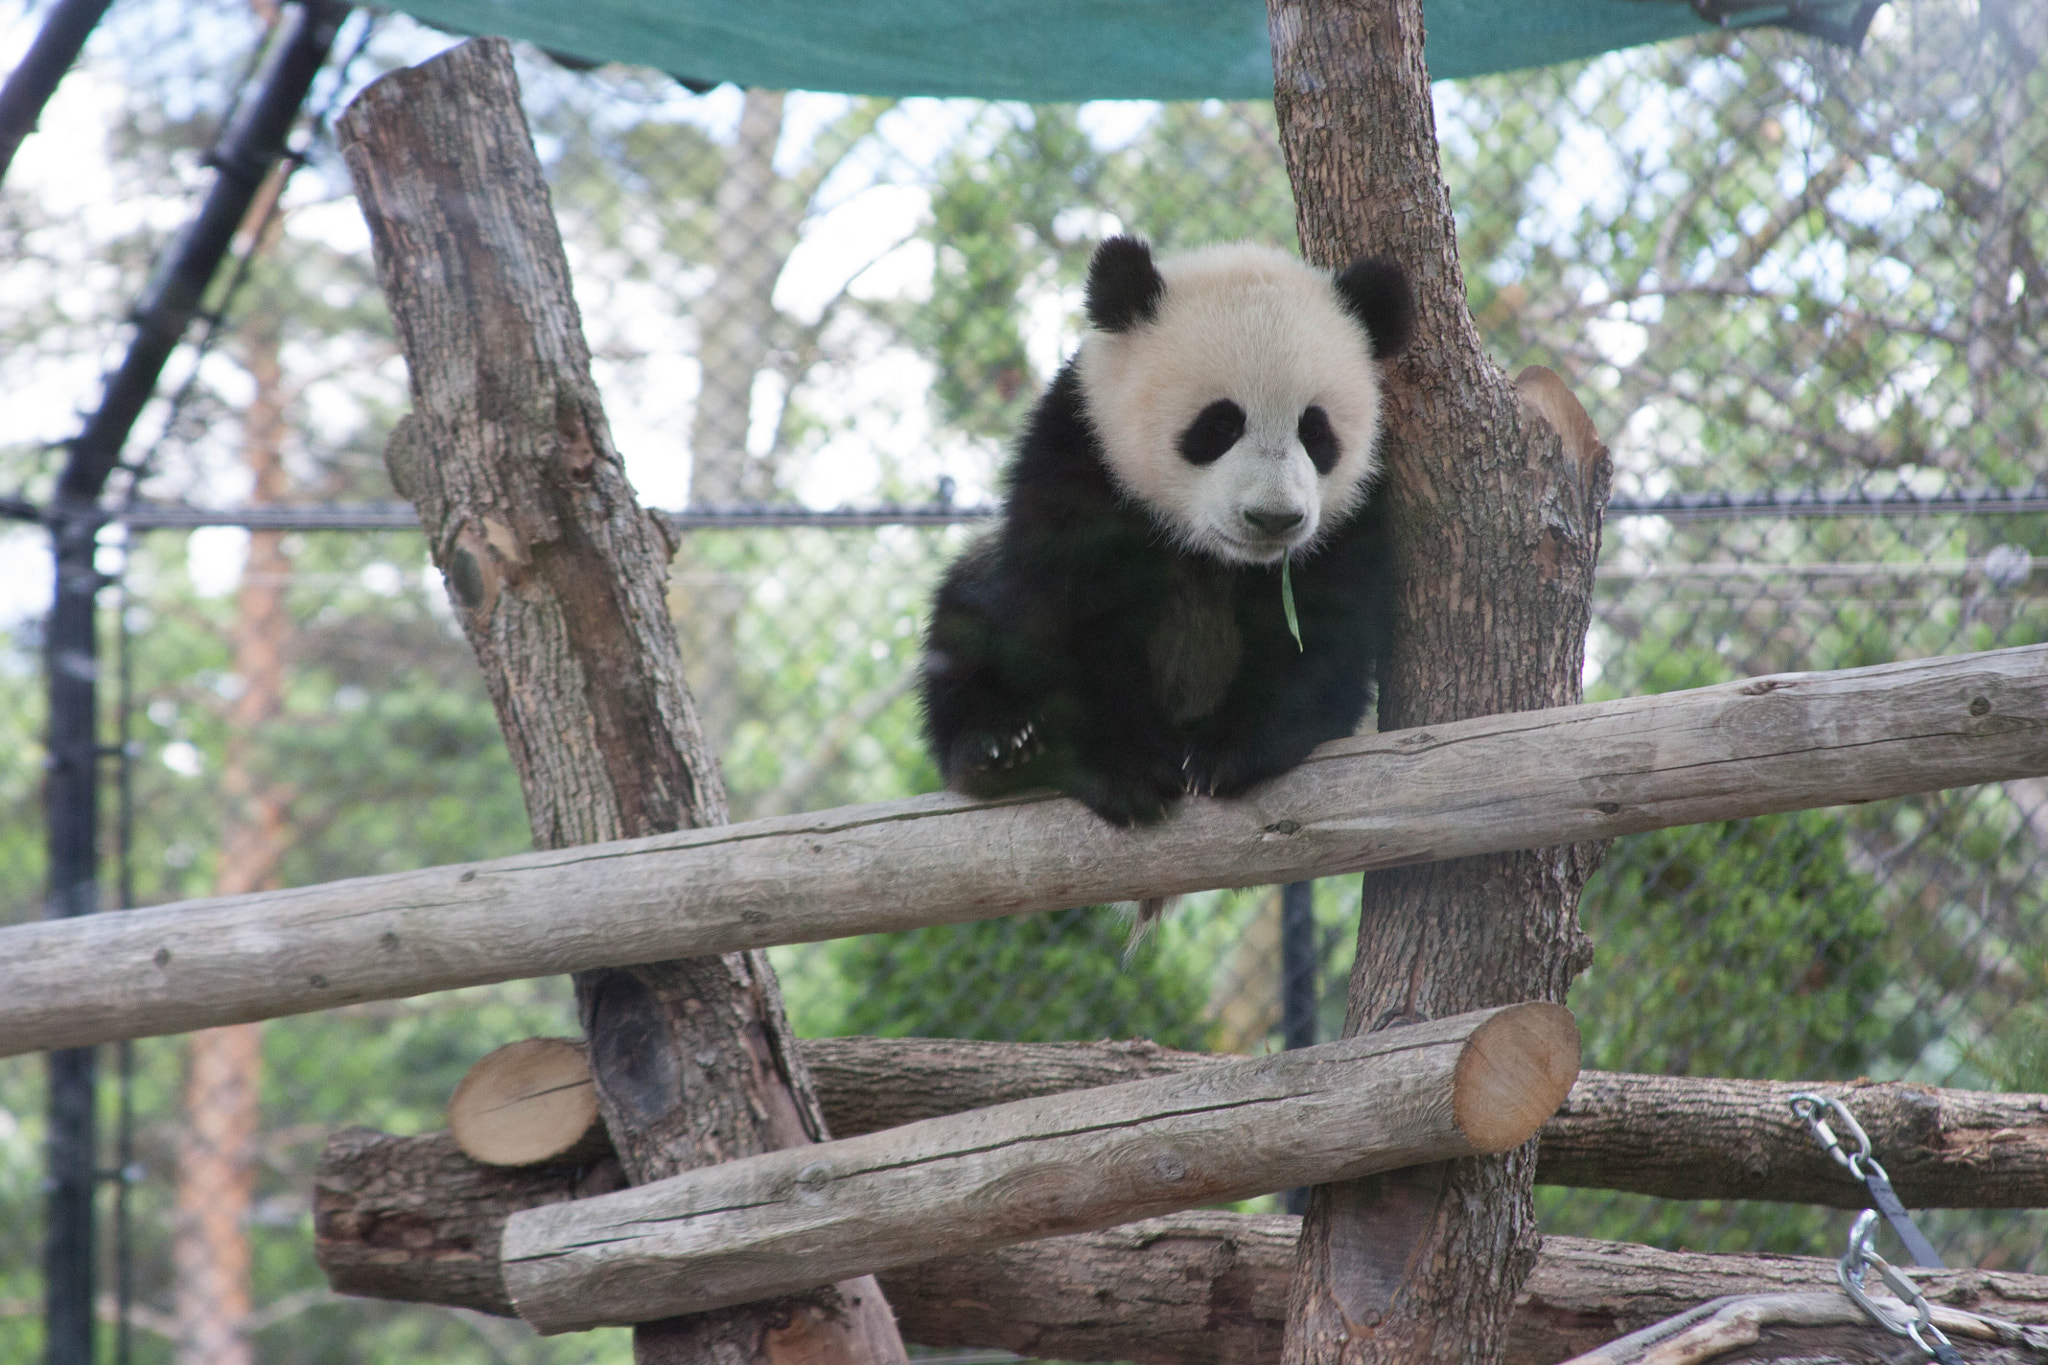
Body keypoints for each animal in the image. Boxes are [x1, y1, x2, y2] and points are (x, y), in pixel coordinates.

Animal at [920, 235, 1415, 831]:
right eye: (1219, 425)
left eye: (1316, 432)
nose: (1273, 519)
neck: (1208, 551)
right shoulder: (1081, 455)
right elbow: (1067, 617)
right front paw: (1127, 770)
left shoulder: (1349, 517)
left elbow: (1317, 635)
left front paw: (1227, 753)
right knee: (965, 614)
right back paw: (998, 749)